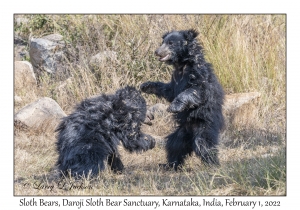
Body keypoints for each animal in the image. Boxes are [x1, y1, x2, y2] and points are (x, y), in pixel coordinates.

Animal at [140, 29, 223, 171]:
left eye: (170, 43)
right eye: (163, 42)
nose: (157, 51)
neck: (182, 65)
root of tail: (190, 132)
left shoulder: (198, 72)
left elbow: (196, 90)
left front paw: (173, 107)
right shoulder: (174, 78)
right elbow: (169, 90)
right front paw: (146, 86)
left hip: (204, 125)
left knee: (204, 145)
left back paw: (212, 164)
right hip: (181, 132)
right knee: (174, 146)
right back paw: (169, 164)